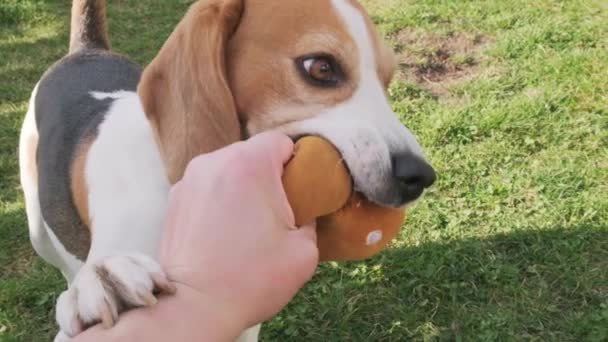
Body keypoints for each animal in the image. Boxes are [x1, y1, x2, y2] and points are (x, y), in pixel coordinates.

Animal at [20, 0, 436, 338]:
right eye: (320, 67)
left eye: (387, 81)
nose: (420, 176)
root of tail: (87, 50)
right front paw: (101, 284)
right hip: (38, 228)